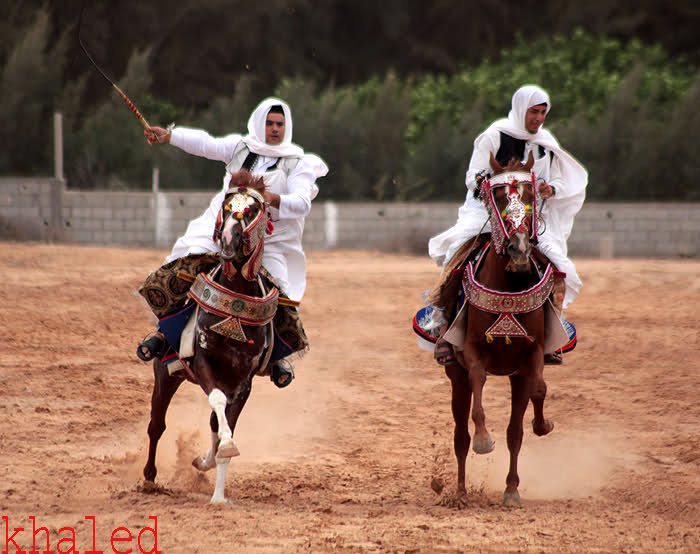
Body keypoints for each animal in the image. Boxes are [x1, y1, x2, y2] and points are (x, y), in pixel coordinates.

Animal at [141, 168, 278, 500]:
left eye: (252, 211)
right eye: (226, 209)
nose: (228, 242)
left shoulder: (243, 382)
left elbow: (224, 425)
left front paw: (215, 486)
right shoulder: (203, 364)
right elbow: (216, 404)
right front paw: (220, 459)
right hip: (165, 373)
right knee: (156, 425)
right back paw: (149, 478)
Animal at [446, 151, 556, 504]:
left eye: (531, 195)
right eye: (497, 196)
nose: (519, 248)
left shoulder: (531, 355)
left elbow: (537, 392)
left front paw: (543, 425)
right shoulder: (471, 352)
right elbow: (478, 384)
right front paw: (484, 440)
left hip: (514, 376)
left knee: (514, 432)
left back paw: (510, 488)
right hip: (454, 377)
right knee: (460, 435)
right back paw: (460, 491)